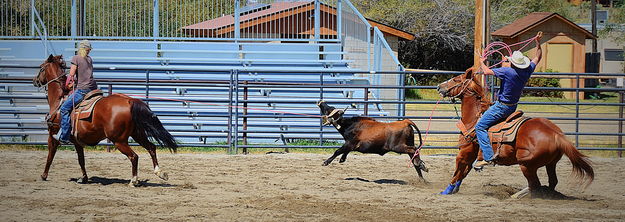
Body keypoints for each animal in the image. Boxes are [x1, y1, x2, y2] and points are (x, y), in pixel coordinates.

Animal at [33, 54, 177, 186]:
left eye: (41, 67)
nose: (35, 80)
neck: (59, 100)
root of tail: (130, 100)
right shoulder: (77, 141)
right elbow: (81, 160)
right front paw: (84, 178)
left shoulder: (52, 135)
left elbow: (50, 156)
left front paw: (44, 175)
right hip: (137, 134)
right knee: (152, 148)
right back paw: (160, 173)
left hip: (119, 140)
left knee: (134, 156)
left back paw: (134, 180)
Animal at [436, 67, 592, 198]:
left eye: (456, 79)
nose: (439, 86)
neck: (474, 119)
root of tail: (556, 135)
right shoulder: (472, 153)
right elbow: (463, 173)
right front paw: (455, 189)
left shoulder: (464, 152)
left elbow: (457, 172)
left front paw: (446, 191)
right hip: (550, 164)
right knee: (551, 182)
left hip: (527, 164)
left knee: (534, 185)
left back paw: (515, 197)